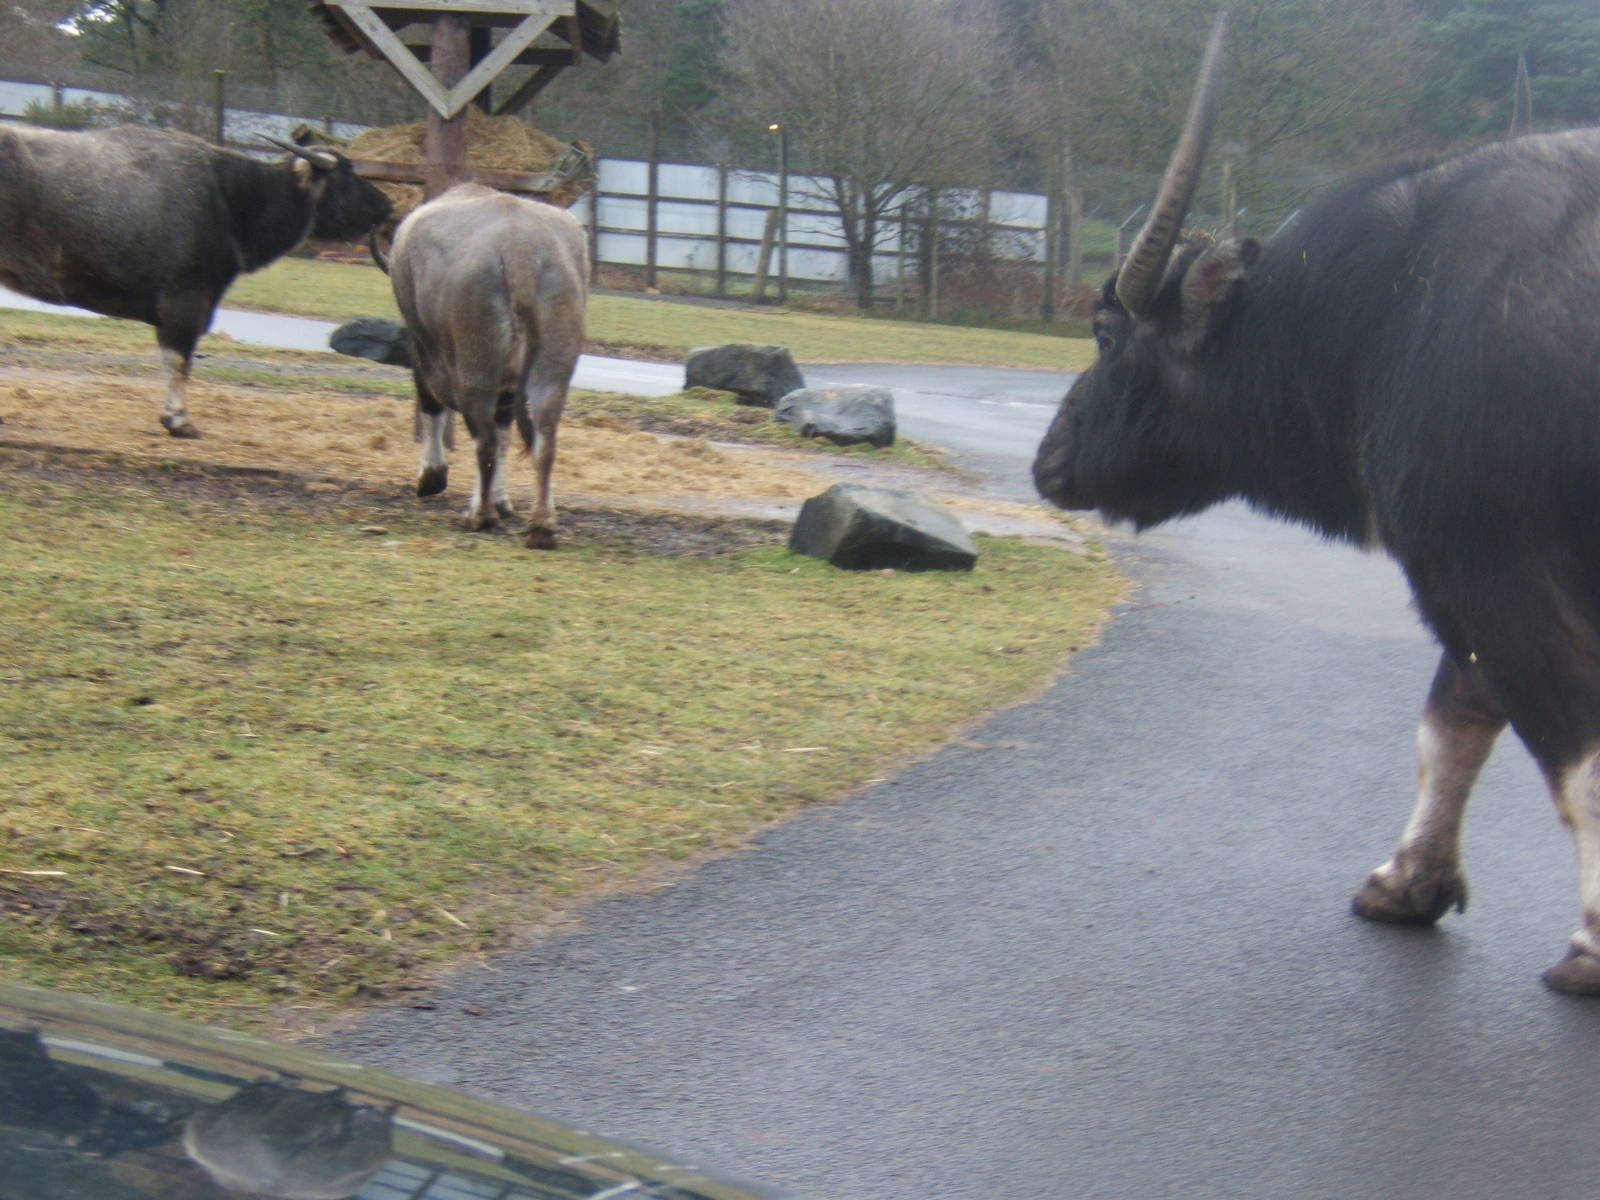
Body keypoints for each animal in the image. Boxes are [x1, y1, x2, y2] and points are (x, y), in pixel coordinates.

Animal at [0, 124, 390, 438]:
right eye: (347, 174)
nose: (386, 206)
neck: (230, 198)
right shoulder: (186, 302)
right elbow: (180, 362)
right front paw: (179, 420)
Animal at [378, 183, 589, 549]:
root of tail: (519, 248)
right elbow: (505, 433)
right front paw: (502, 501)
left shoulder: (422, 349)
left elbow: (431, 405)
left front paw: (432, 476)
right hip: (551, 369)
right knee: (543, 439)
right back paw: (541, 526)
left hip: (475, 367)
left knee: (484, 439)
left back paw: (480, 516)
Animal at [1032, 16, 1600, 994]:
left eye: (1106, 336)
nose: (1048, 459)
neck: (1390, 313)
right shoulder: (1477, 586)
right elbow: (1451, 721)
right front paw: (1409, 882)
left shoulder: (1489, 569)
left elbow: (1566, 753)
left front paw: (1591, 944)